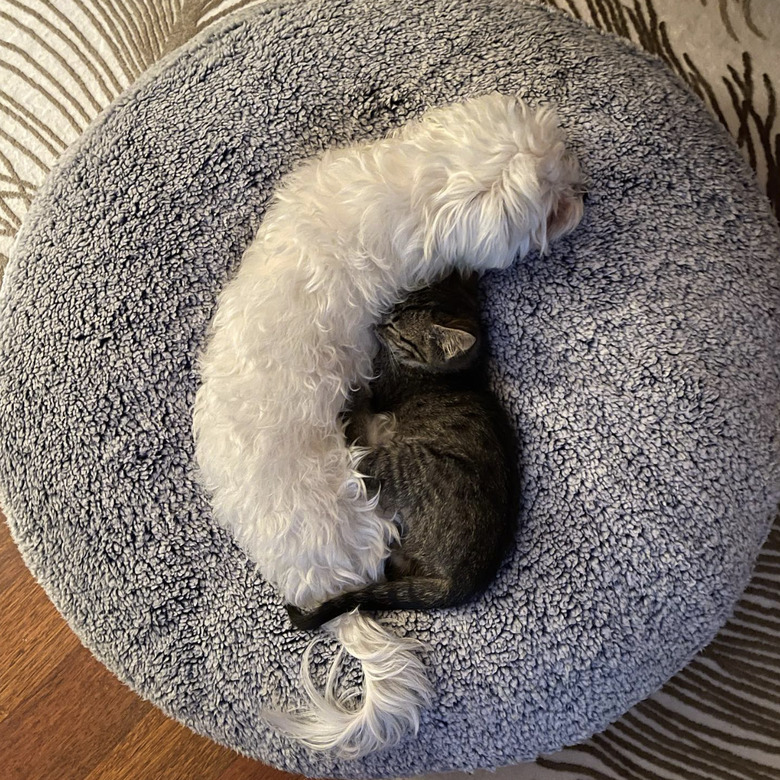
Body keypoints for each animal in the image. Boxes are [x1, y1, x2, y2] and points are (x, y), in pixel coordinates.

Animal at [288, 272, 516, 632]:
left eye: (397, 329)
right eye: (396, 304)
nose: (379, 320)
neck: (455, 372)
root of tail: (462, 582)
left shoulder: (382, 379)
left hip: (396, 463)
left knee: (356, 448)